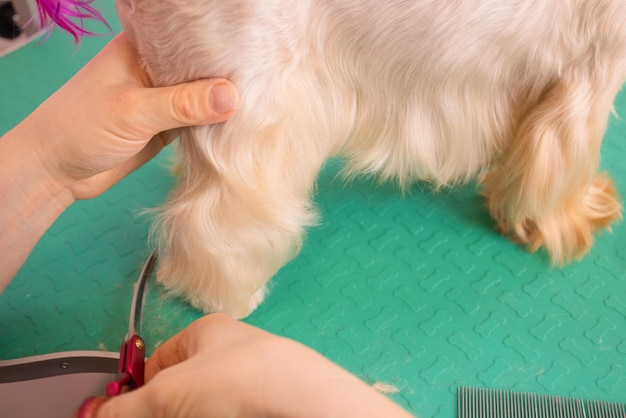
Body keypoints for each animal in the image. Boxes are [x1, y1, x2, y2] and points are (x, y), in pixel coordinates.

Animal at [116, 0, 624, 316]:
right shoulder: (588, 80)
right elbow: (556, 177)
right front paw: (562, 221)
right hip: (253, 113)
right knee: (214, 223)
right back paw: (226, 298)